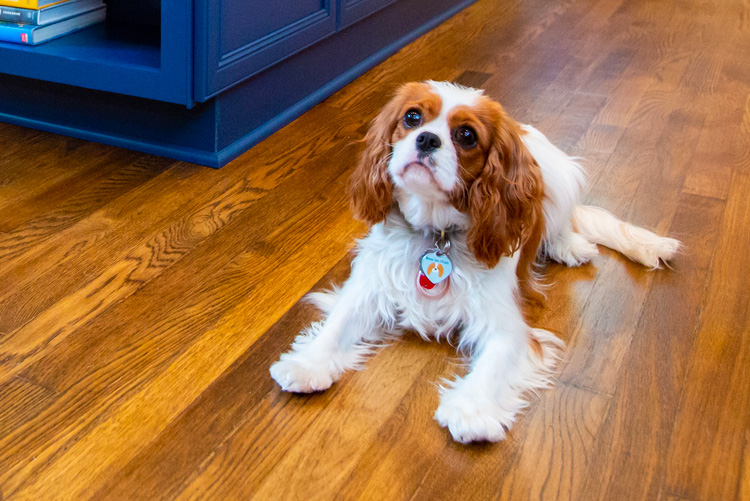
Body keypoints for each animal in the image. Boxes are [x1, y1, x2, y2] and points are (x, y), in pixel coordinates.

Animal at [270, 81, 680, 442]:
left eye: (466, 135)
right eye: (412, 117)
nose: (427, 139)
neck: (437, 232)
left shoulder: (507, 323)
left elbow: (496, 360)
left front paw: (473, 409)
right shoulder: (370, 284)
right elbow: (339, 322)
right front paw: (309, 363)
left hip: (563, 176)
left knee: (565, 221)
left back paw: (569, 246)